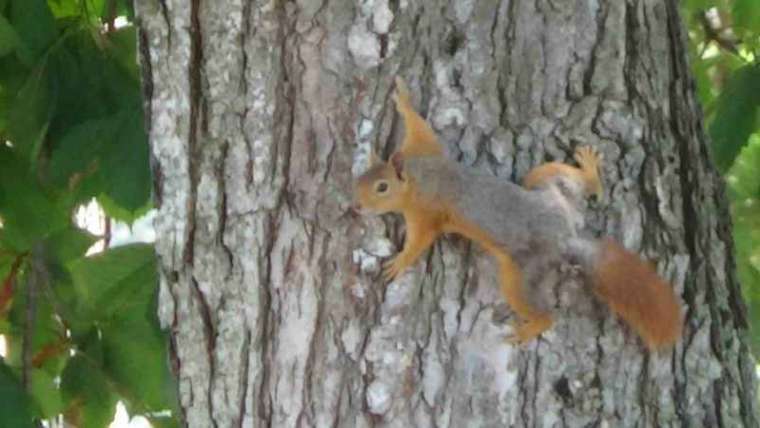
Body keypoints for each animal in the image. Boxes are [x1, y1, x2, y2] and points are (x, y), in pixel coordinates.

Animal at [354, 77, 684, 352]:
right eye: (360, 178)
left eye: (382, 187)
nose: (356, 206)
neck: (418, 177)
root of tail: (565, 237)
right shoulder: (424, 149)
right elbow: (420, 126)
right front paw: (403, 99)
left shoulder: (426, 213)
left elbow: (421, 240)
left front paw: (399, 262)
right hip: (546, 181)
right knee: (568, 179)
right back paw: (591, 172)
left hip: (521, 273)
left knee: (543, 312)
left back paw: (532, 327)